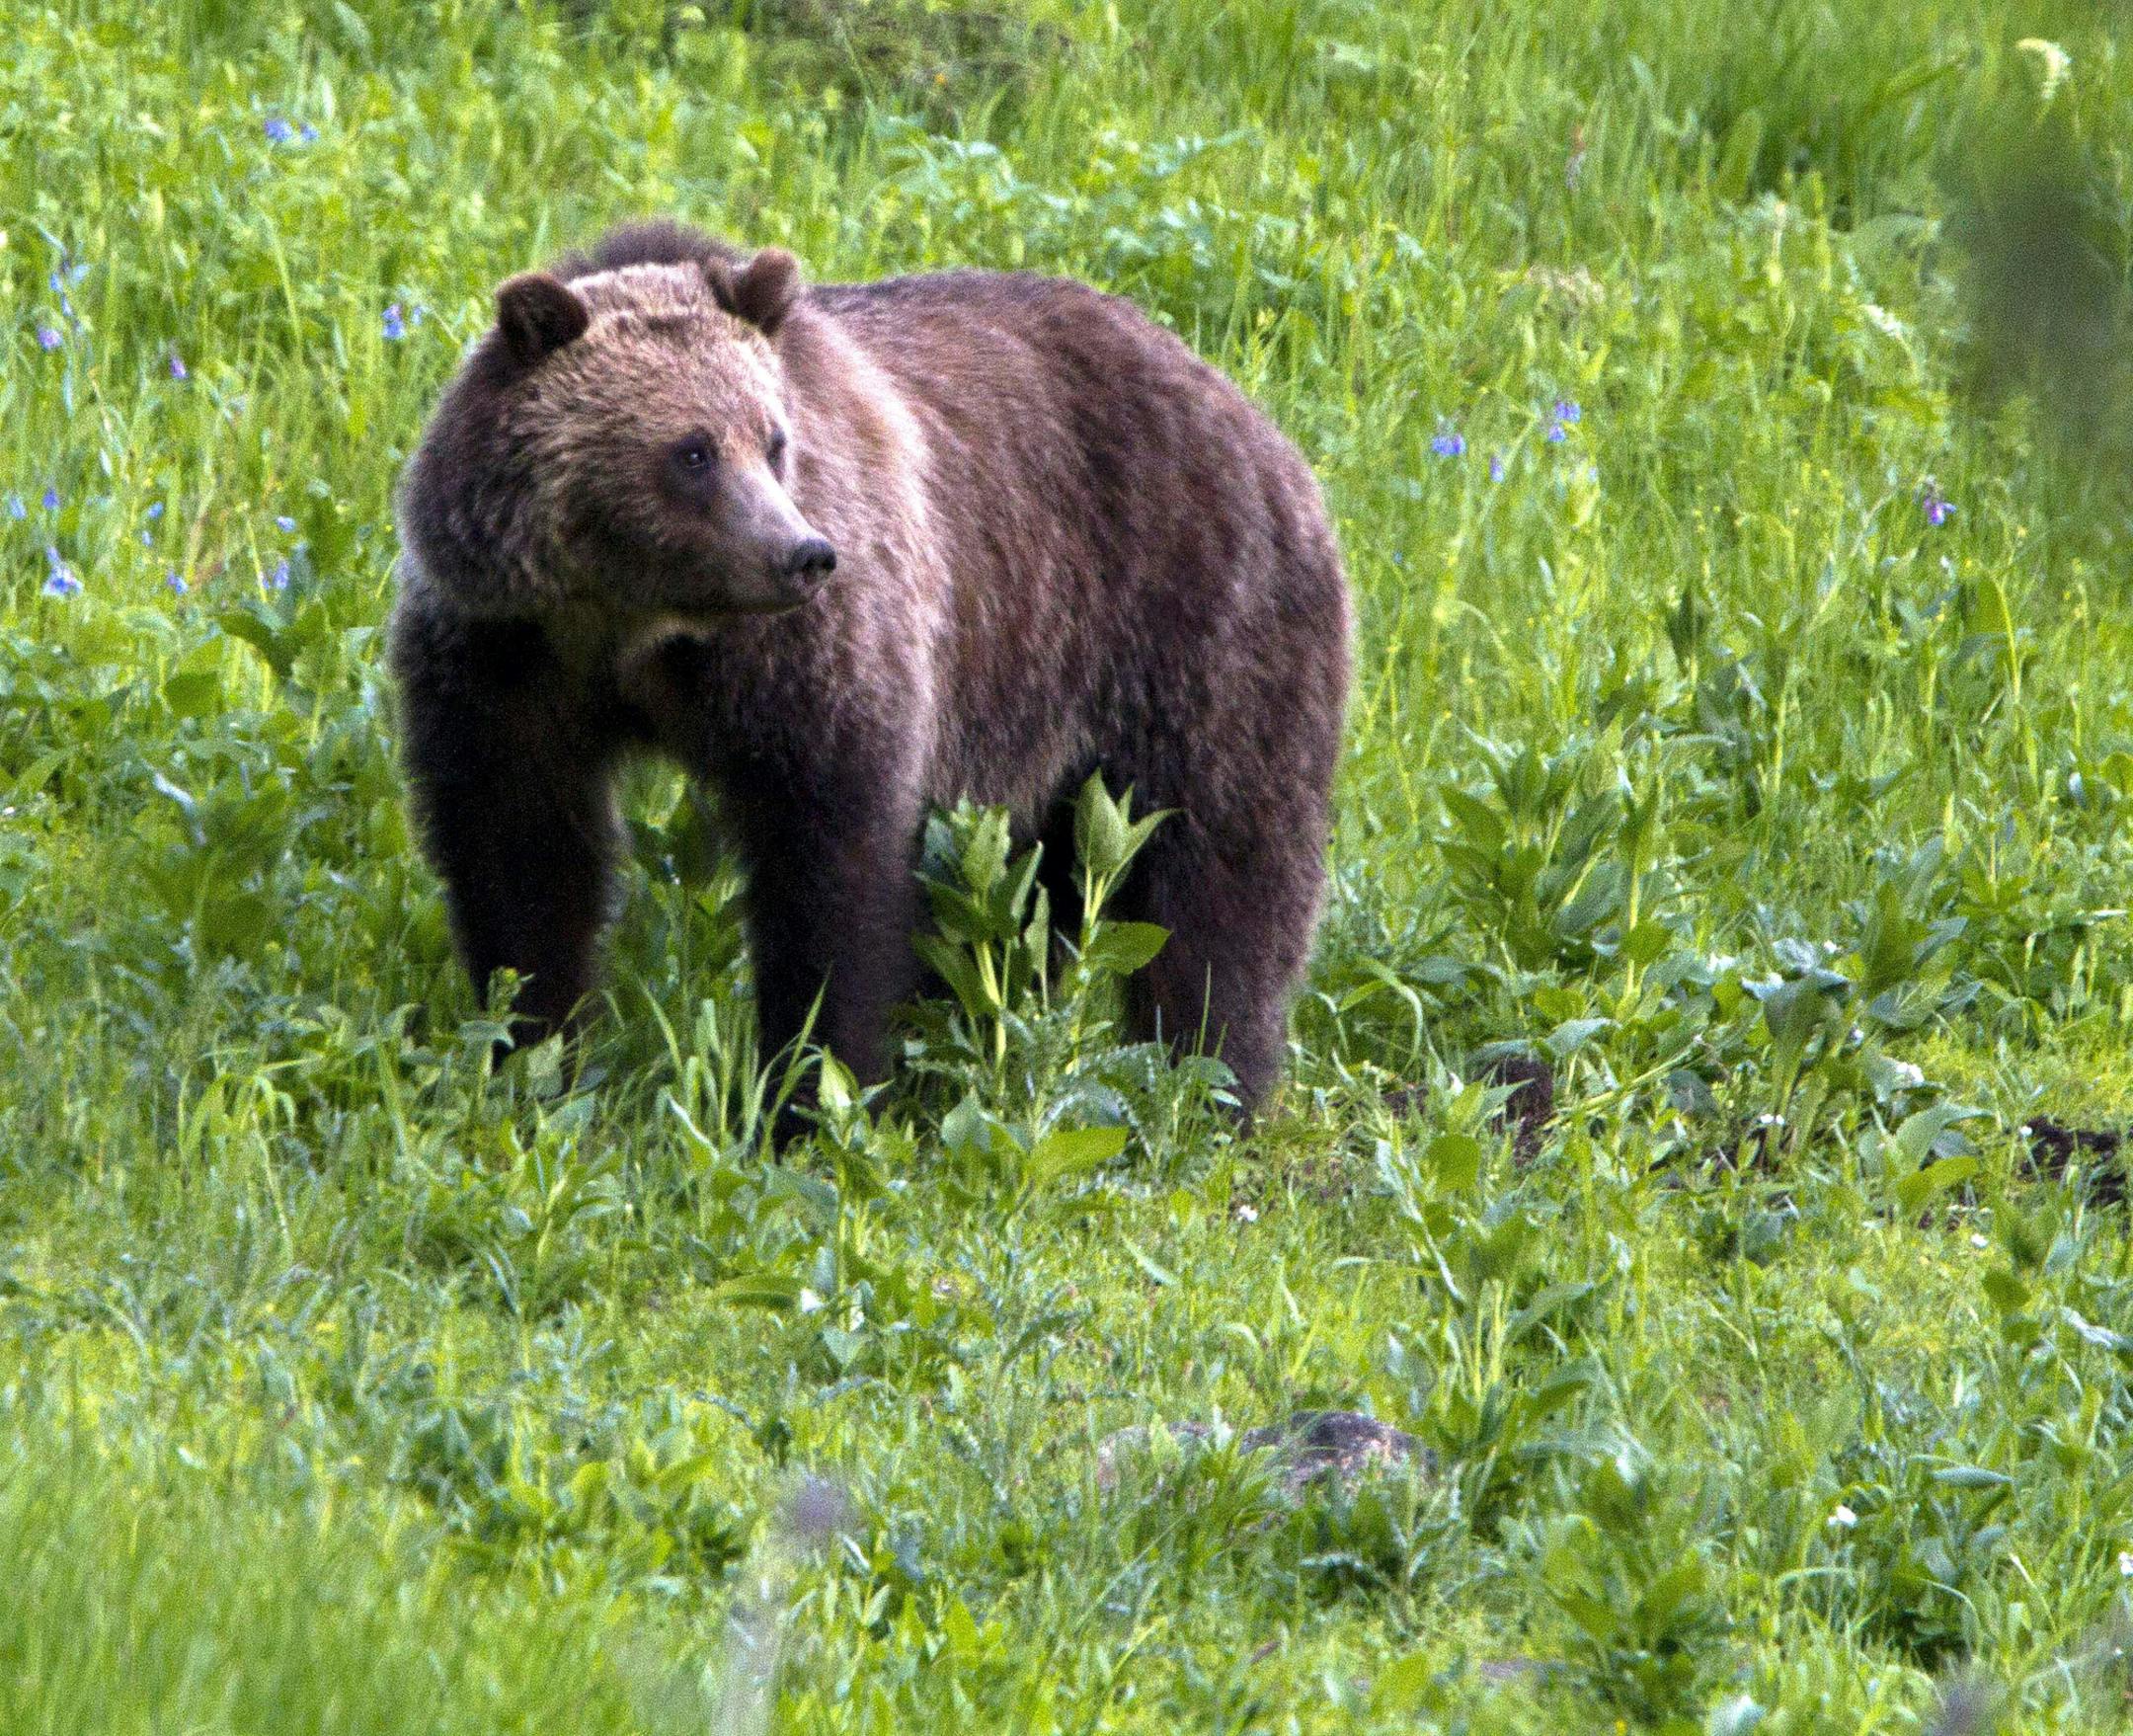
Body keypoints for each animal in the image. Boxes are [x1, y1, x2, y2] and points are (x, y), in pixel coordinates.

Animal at [390, 221, 1351, 1117]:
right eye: (692, 451)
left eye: (773, 440)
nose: (802, 554)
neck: (635, 626)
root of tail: (1248, 410)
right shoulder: (507, 658)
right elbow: (522, 856)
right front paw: (532, 1055)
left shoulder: (808, 664)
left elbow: (832, 870)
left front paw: (812, 1090)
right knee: (1031, 898)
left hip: (1193, 629)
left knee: (1221, 874)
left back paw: (1212, 1084)